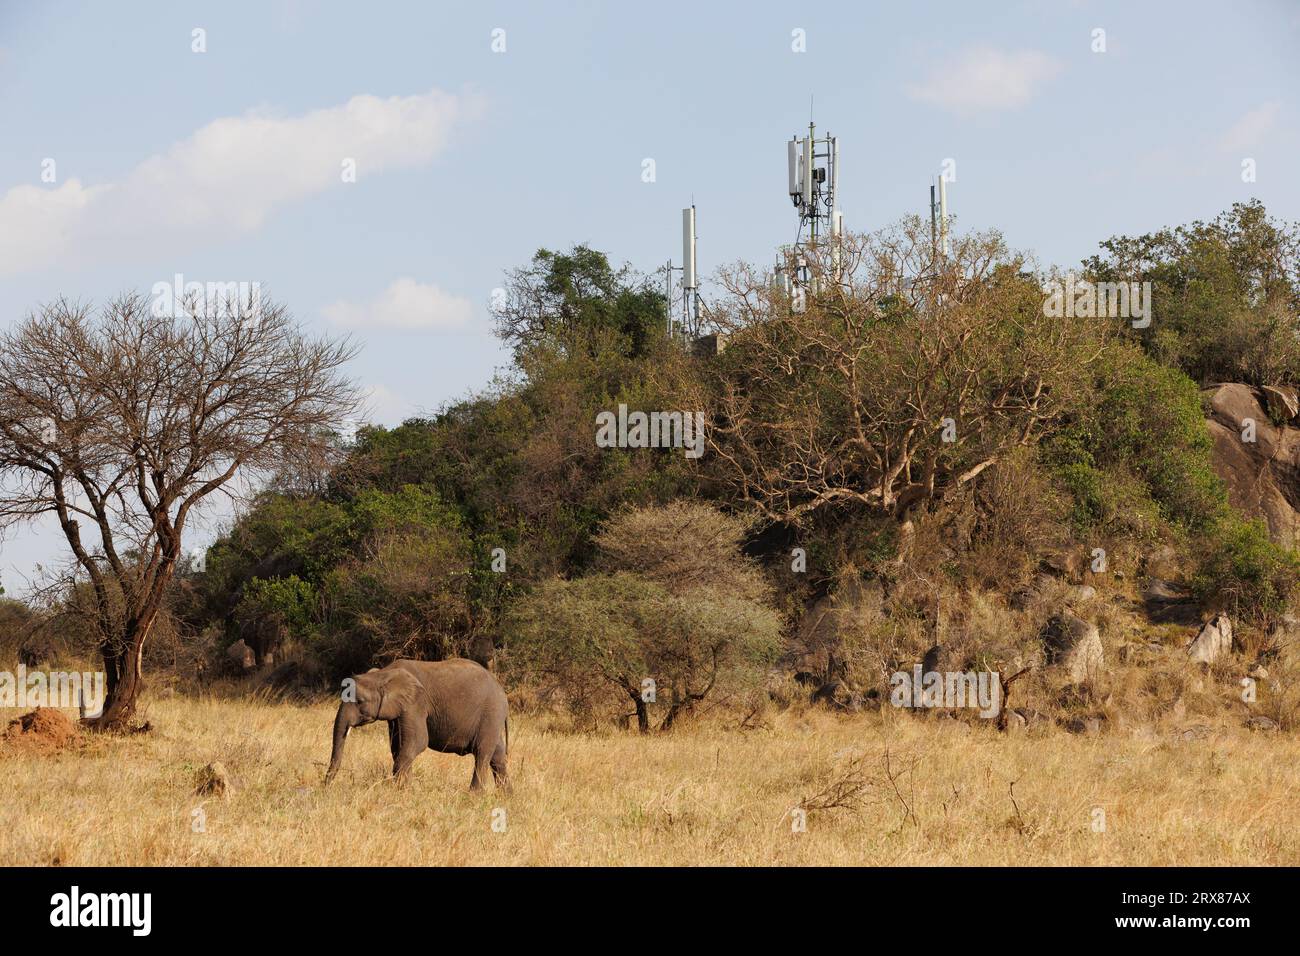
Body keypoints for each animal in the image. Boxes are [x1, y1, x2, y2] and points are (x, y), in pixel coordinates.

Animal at [323, 660, 506, 790]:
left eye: (360, 701)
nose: (325, 787)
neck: (383, 674)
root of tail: (501, 690)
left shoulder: (415, 703)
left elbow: (418, 742)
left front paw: (399, 789)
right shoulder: (399, 711)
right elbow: (397, 746)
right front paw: (406, 789)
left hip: (491, 713)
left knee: (482, 753)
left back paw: (474, 795)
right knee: (497, 756)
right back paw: (505, 796)